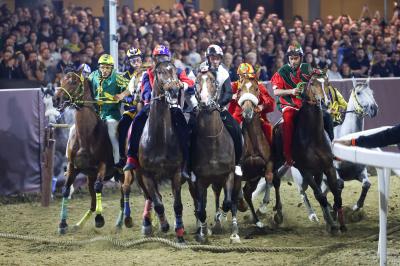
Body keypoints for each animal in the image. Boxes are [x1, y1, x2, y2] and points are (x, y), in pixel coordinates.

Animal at [52, 69, 131, 234]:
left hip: (122, 174)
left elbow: (99, 187)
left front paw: (99, 219)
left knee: (124, 196)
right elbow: (66, 190)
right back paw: (80, 224)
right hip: (90, 177)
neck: (86, 136)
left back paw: (122, 222)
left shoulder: (102, 166)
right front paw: (62, 224)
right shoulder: (73, 167)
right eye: (61, 80)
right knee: (93, 202)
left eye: (73, 81)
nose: (56, 99)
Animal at [190, 70, 238, 243]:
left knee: (231, 200)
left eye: (213, 81)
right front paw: (203, 233)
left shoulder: (229, 174)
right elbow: (201, 209)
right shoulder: (200, 180)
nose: (205, 102)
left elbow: (228, 202)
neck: (212, 142)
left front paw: (223, 221)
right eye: (197, 82)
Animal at [236, 77, 274, 229]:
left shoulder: (267, 162)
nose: (247, 112)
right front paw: (240, 205)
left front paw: (263, 207)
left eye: (256, 88)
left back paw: (257, 220)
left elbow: (269, 177)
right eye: (240, 89)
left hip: (253, 178)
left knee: (247, 193)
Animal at [253, 76, 378, 220]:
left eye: (372, 92)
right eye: (359, 93)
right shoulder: (333, 171)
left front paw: (355, 207)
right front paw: (335, 210)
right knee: (300, 191)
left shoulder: (359, 171)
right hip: (301, 177)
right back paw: (310, 214)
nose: (374, 108)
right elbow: (339, 185)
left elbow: (366, 184)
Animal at [272, 73, 346, 233]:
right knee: (275, 180)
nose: (324, 101)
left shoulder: (328, 167)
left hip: (317, 170)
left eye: (327, 82)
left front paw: (338, 220)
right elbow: (320, 195)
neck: (313, 137)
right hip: (277, 160)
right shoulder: (304, 170)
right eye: (312, 83)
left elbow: (335, 192)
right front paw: (332, 224)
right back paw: (278, 213)